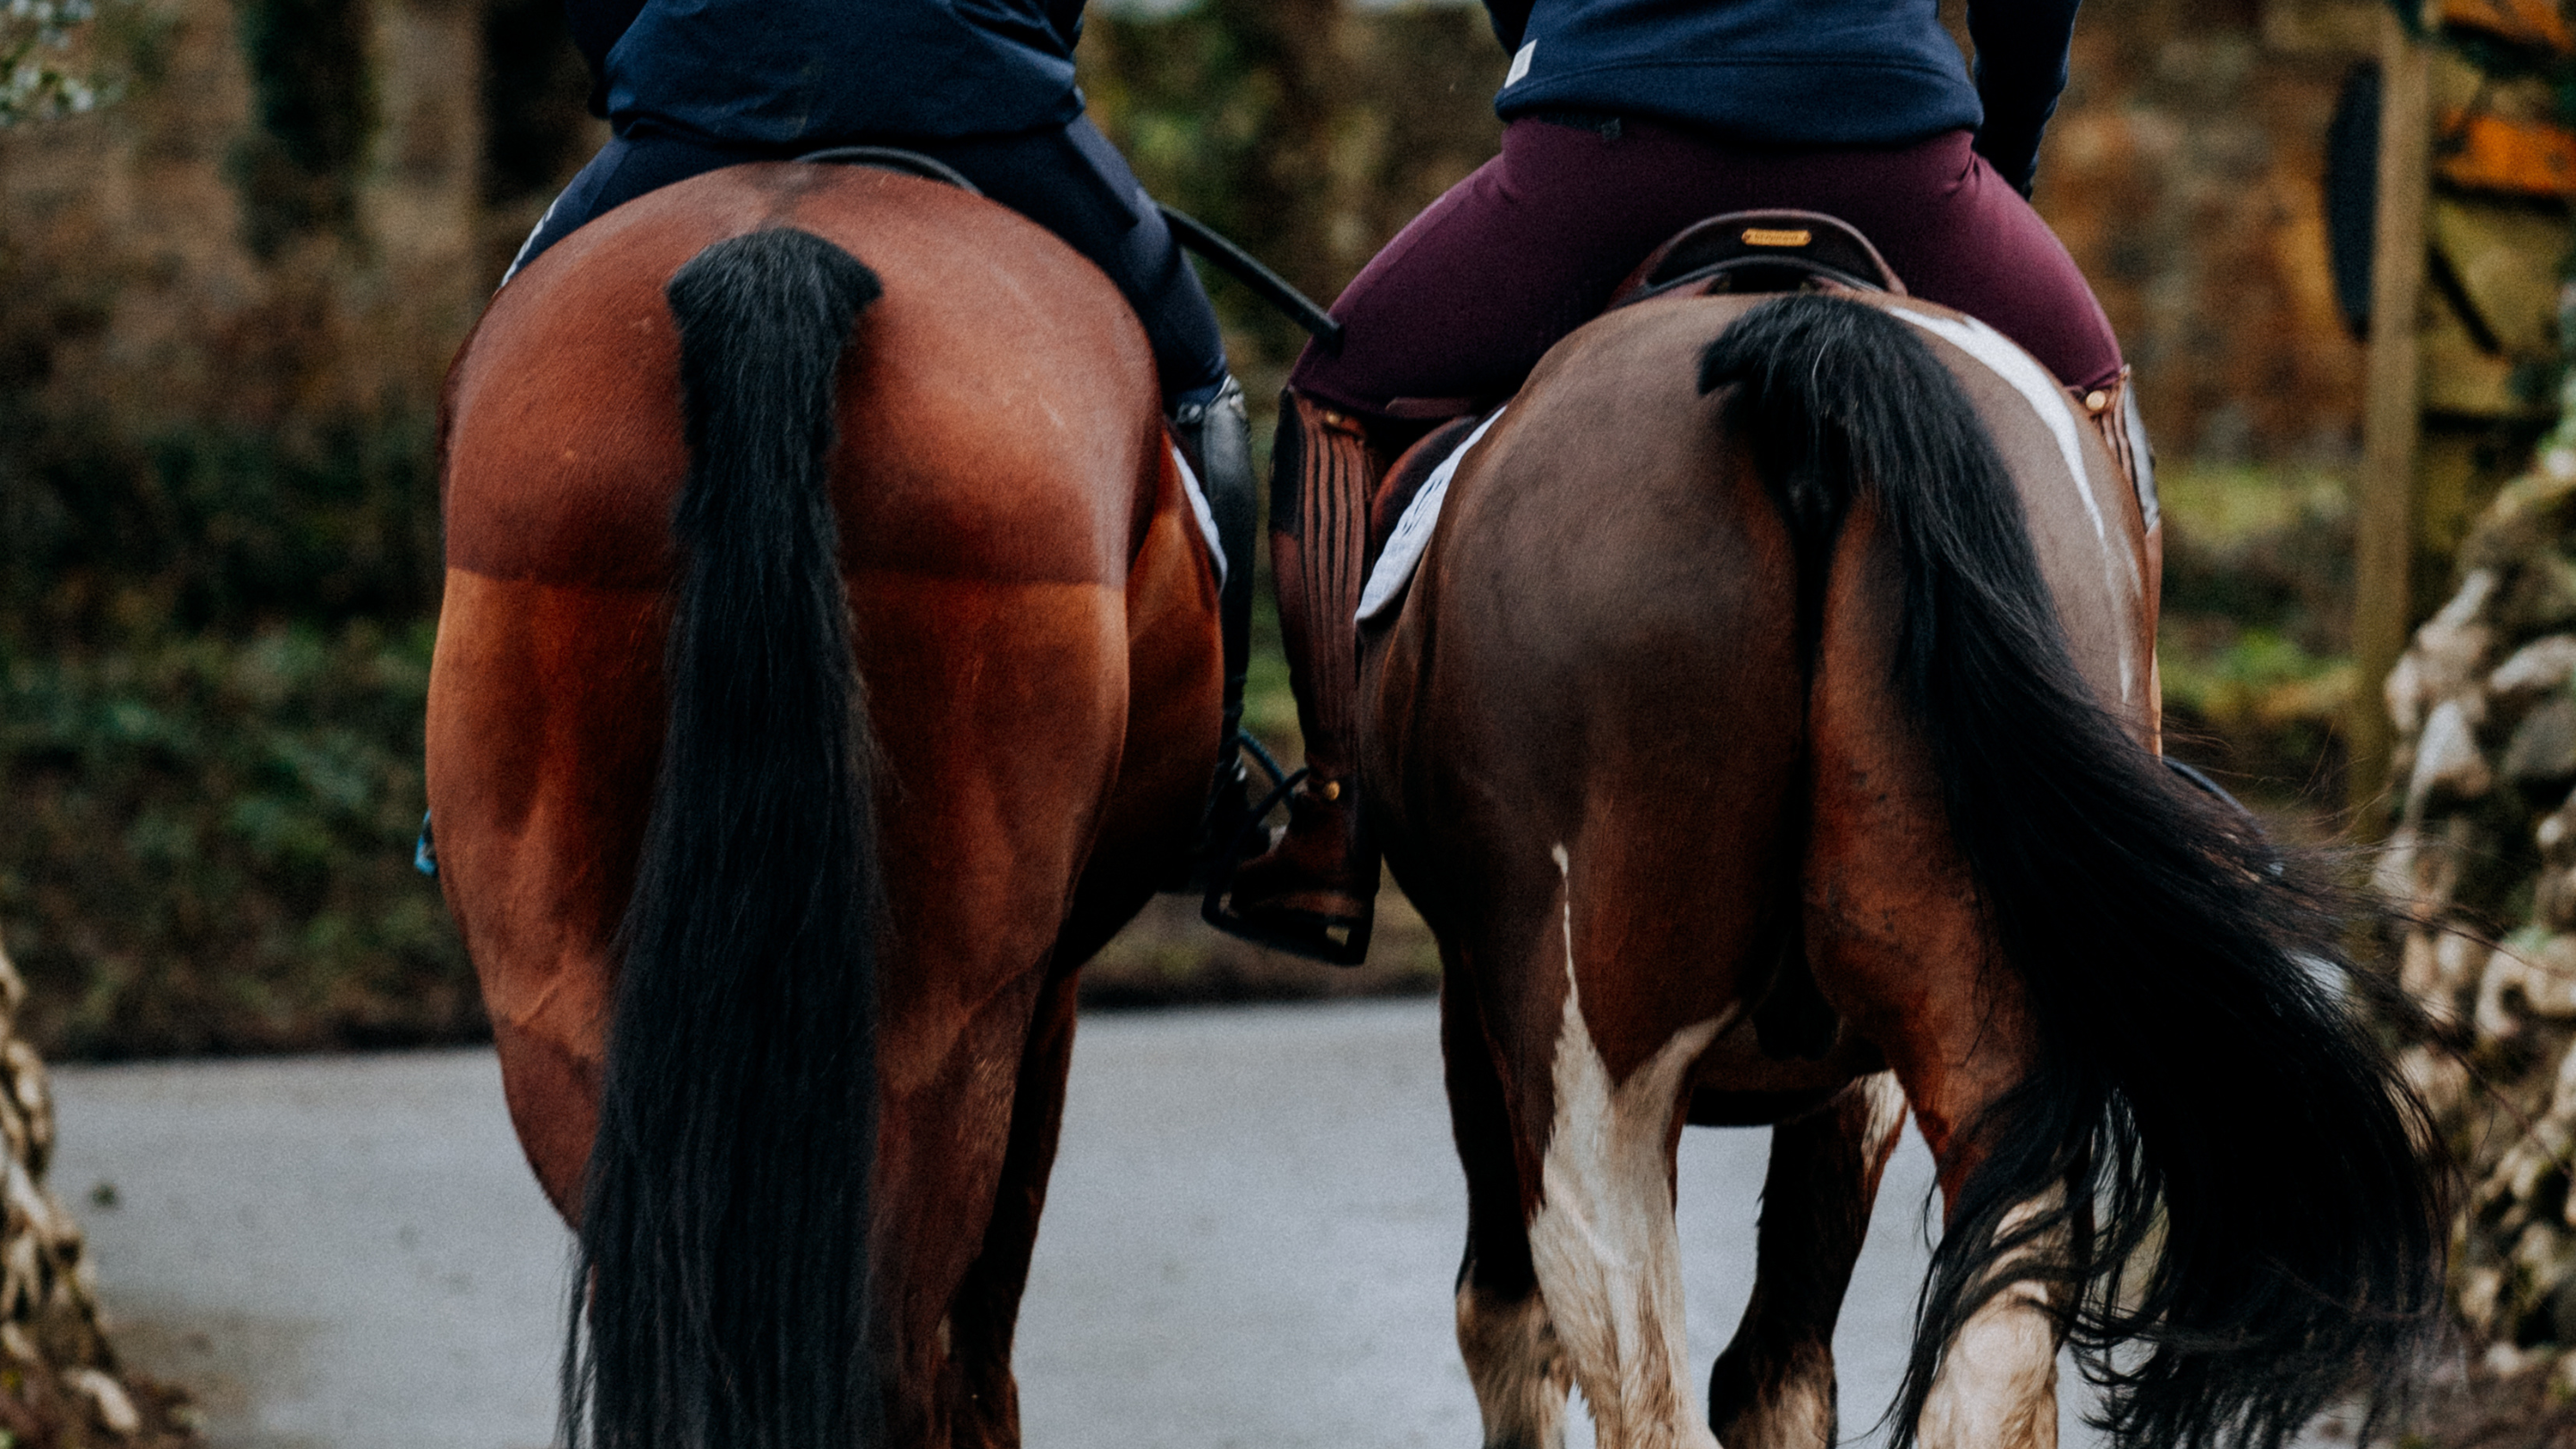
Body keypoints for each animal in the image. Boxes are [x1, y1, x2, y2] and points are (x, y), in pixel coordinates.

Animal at [1359, 270, 2444, 1449]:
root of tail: (1813, 343)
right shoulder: (1866, 1068)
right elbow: (1782, 1371)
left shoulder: (1483, 1010)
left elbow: (1519, 1328)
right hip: (1989, 1041)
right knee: (1990, 1354)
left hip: (1592, 1072)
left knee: (1637, 1381)